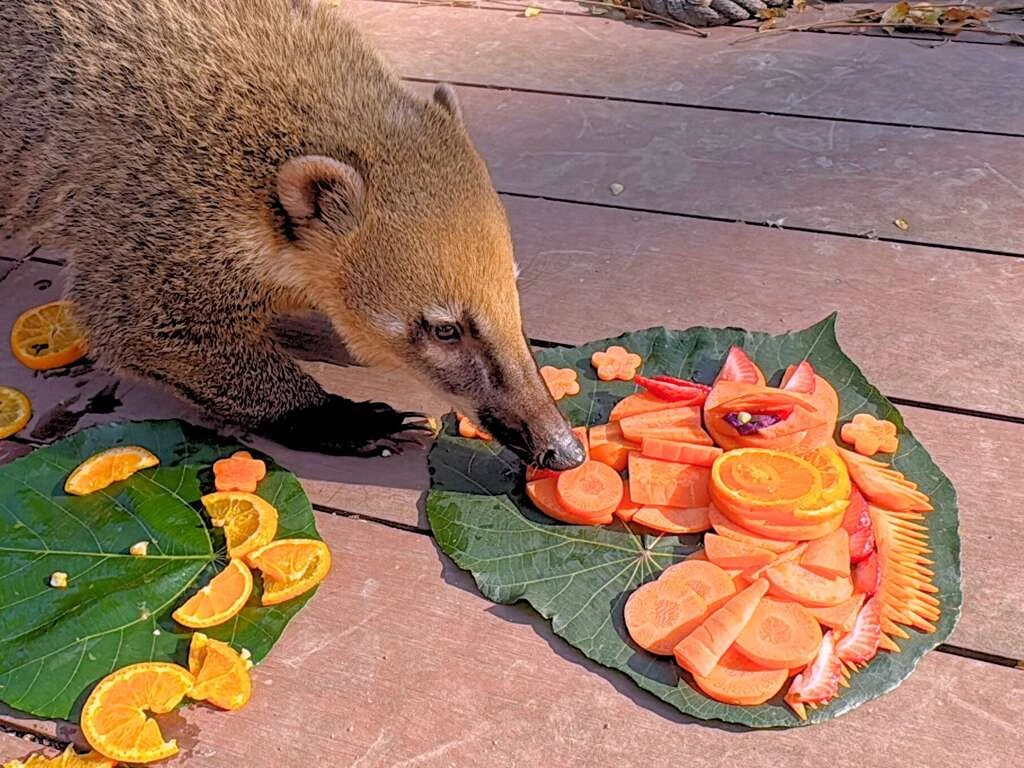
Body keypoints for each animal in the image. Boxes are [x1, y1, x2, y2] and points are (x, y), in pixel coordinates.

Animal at [0, 0, 586, 471]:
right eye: (446, 331)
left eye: (513, 291)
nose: (564, 451)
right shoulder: (152, 216)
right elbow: (142, 329)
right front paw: (334, 416)